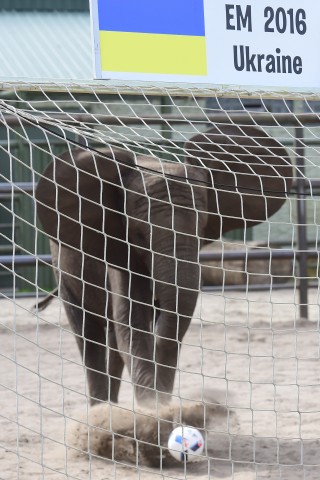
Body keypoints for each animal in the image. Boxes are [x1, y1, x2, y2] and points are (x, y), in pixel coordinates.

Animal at [35, 123, 292, 404]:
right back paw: (101, 408)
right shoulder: (118, 250)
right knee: (88, 333)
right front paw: (154, 407)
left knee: (113, 338)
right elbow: (132, 324)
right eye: (139, 235)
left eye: (202, 229)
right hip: (63, 267)